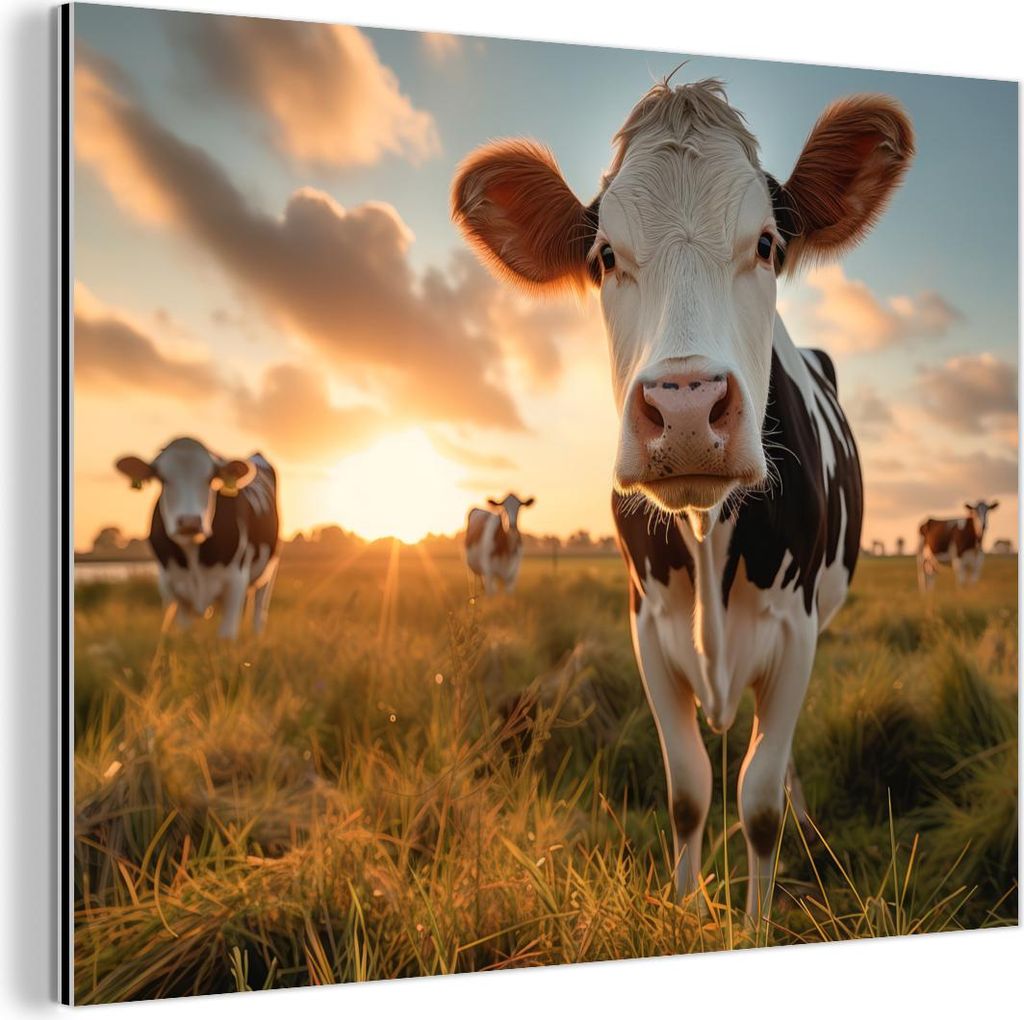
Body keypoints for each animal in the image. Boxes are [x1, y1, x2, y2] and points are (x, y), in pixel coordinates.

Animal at [114, 437, 280, 638]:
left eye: (211, 479)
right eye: (162, 479)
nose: (189, 521)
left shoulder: (236, 581)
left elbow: (226, 636)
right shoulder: (172, 587)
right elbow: (185, 634)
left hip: (269, 571)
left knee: (259, 610)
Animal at [452, 78, 913, 917]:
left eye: (767, 244)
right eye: (604, 257)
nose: (688, 407)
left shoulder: (797, 633)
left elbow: (757, 800)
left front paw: (756, 922)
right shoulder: (647, 633)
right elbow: (690, 790)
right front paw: (690, 910)